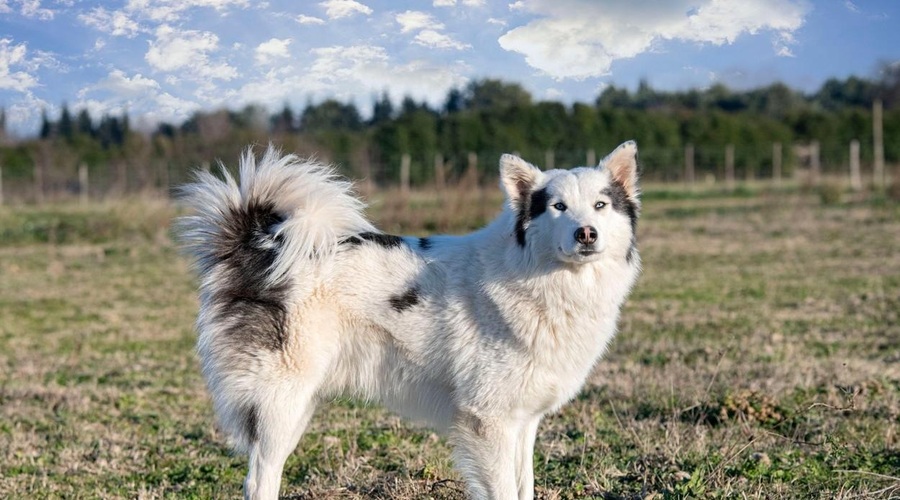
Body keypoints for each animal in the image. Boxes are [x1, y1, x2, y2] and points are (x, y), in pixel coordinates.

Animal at [176, 142, 640, 500]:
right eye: (558, 207)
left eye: (601, 205)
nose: (586, 233)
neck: (536, 275)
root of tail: (259, 243)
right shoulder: (487, 422)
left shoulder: (522, 423)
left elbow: (523, 486)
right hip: (280, 403)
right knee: (260, 480)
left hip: (296, 406)